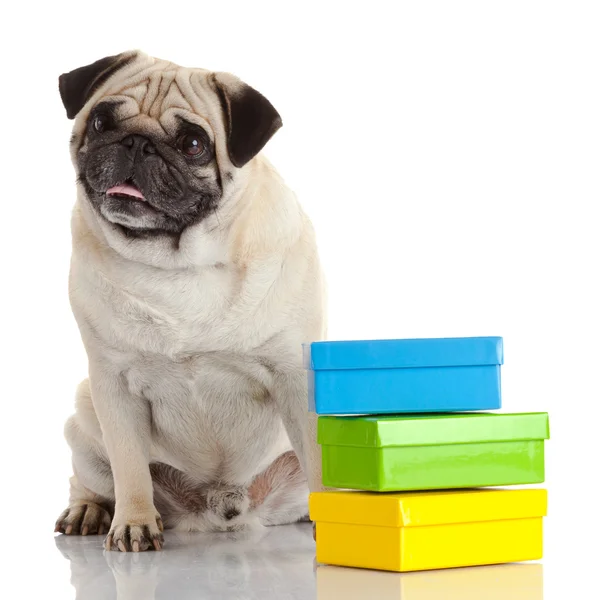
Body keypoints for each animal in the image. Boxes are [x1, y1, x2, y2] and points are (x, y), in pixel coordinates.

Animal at [55, 51, 328, 552]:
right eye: (102, 121)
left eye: (193, 144)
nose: (137, 143)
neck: (178, 263)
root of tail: (223, 508)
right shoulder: (113, 385)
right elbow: (129, 468)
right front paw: (134, 524)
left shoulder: (296, 380)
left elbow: (321, 459)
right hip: (85, 418)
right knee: (92, 479)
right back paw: (89, 510)